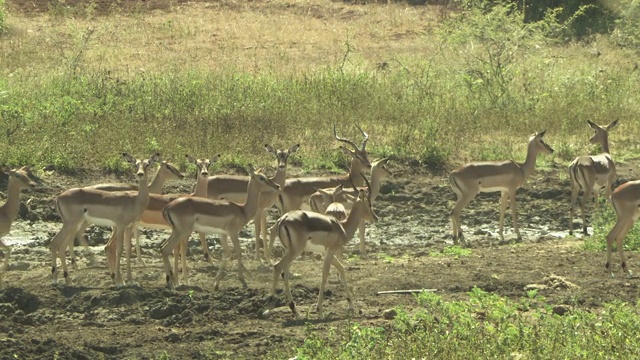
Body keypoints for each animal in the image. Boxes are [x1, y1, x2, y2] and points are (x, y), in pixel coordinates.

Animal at [49, 153, 159, 286]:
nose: (140, 174)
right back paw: (63, 280)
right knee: (57, 244)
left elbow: (127, 250)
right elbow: (119, 250)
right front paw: (120, 282)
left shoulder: (128, 227)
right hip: (71, 225)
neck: (135, 201)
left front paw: (130, 281)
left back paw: (61, 280)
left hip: (70, 225)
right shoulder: (120, 226)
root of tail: (58, 196)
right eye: (136, 164)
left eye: (147, 164)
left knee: (57, 245)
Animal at [268, 174, 378, 318]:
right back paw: (271, 306)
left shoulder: (327, 252)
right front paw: (319, 310)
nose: (375, 218)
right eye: (369, 204)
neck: (342, 227)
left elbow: (342, 269)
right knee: (277, 267)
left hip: (288, 251)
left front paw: (351, 304)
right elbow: (325, 275)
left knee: (284, 272)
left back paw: (294, 310)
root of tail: (282, 220)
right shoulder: (331, 251)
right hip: (294, 251)